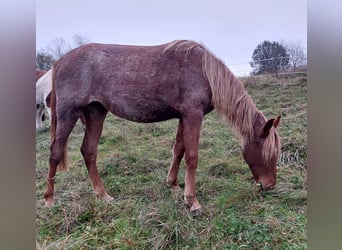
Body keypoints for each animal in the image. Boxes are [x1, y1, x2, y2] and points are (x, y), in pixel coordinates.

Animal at [44, 39, 280, 213]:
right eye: (269, 154)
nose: (269, 186)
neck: (204, 72)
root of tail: (60, 61)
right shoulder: (193, 115)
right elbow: (192, 156)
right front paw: (192, 201)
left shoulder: (184, 117)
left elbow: (179, 150)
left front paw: (173, 185)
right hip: (68, 114)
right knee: (55, 152)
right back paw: (49, 199)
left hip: (95, 113)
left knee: (89, 152)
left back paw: (103, 195)